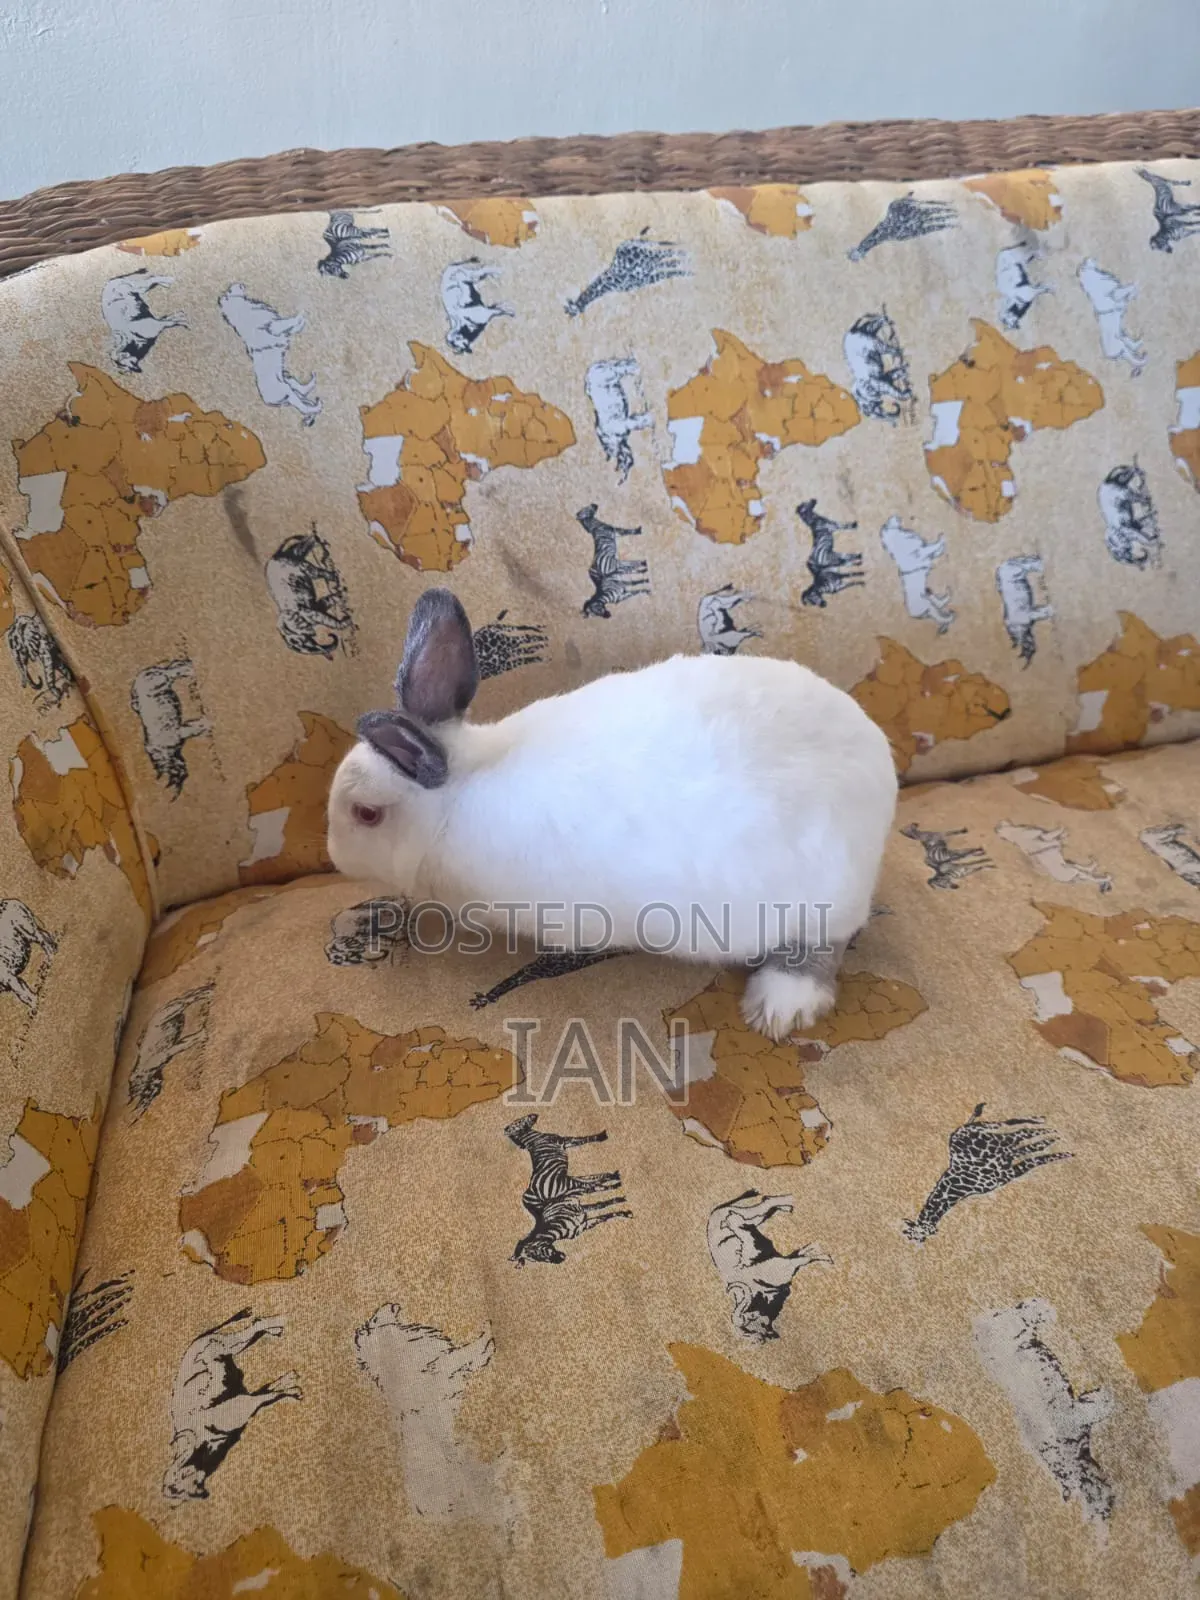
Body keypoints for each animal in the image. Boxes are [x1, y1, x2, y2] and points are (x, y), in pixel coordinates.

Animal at [326, 589, 897, 1041]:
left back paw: (779, 1006)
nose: (333, 856)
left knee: (823, 947)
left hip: (817, 899)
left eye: (366, 814)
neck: (454, 799)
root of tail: (881, 774)